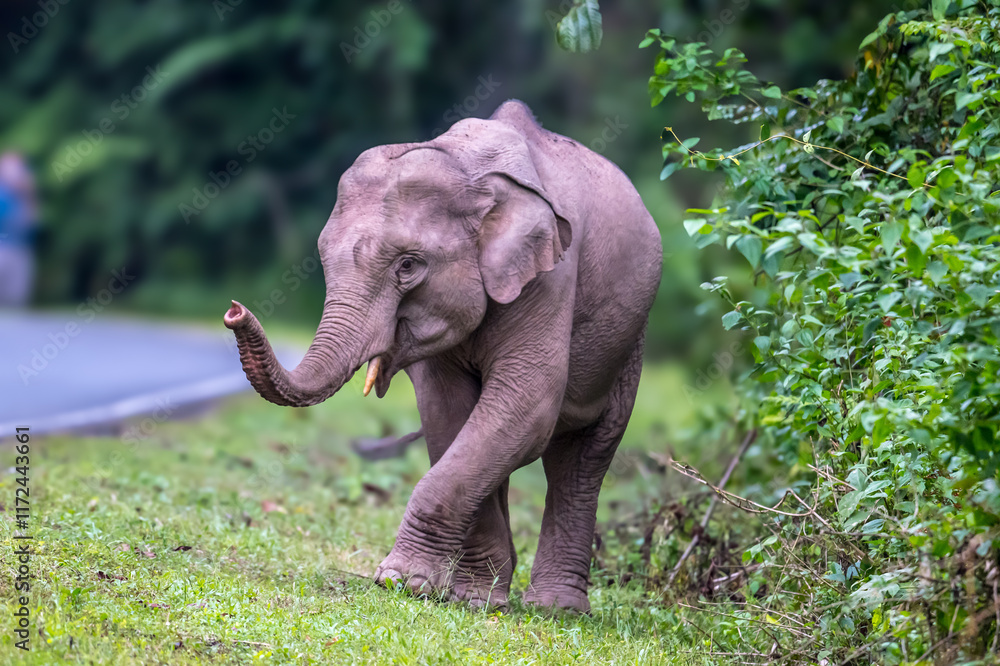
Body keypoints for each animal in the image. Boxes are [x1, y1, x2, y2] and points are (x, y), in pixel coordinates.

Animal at [224, 99, 662, 612]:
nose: (233, 310)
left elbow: (527, 408)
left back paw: (555, 608)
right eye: (323, 257)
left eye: (408, 265)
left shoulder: (551, 276)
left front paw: (401, 582)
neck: (467, 167)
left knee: (582, 457)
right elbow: (449, 413)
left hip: (632, 336)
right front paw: (469, 597)